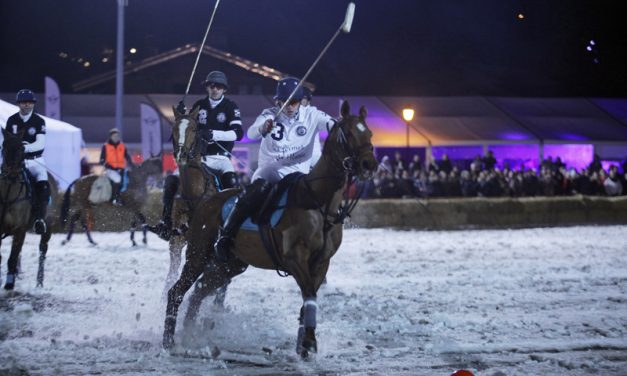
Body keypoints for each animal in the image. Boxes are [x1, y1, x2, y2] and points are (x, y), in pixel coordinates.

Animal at [0, 131, 52, 290]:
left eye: (22, 149)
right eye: (3, 147)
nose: (10, 174)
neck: (8, 195)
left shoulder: (20, 229)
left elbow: (12, 258)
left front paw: (9, 284)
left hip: (48, 226)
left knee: (42, 250)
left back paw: (39, 282)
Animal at [163, 100, 378, 358]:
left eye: (369, 132)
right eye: (348, 133)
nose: (370, 164)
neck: (317, 201)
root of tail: (204, 203)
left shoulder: (322, 262)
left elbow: (309, 297)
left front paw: (303, 344)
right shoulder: (295, 258)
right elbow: (309, 294)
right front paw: (308, 343)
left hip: (229, 265)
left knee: (199, 292)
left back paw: (191, 336)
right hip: (198, 254)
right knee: (177, 291)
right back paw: (169, 342)